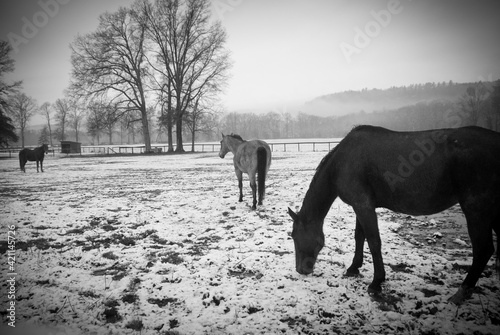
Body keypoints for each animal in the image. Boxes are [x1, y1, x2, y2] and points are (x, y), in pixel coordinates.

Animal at [290, 125, 500, 304]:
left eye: (293, 236)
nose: (301, 270)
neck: (342, 162)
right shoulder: (361, 206)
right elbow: (359, 237)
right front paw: (354, 268)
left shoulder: (363, 206)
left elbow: (374, 242)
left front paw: (376, 283)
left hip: (476, 210)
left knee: (483, 250)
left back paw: (460, 293)